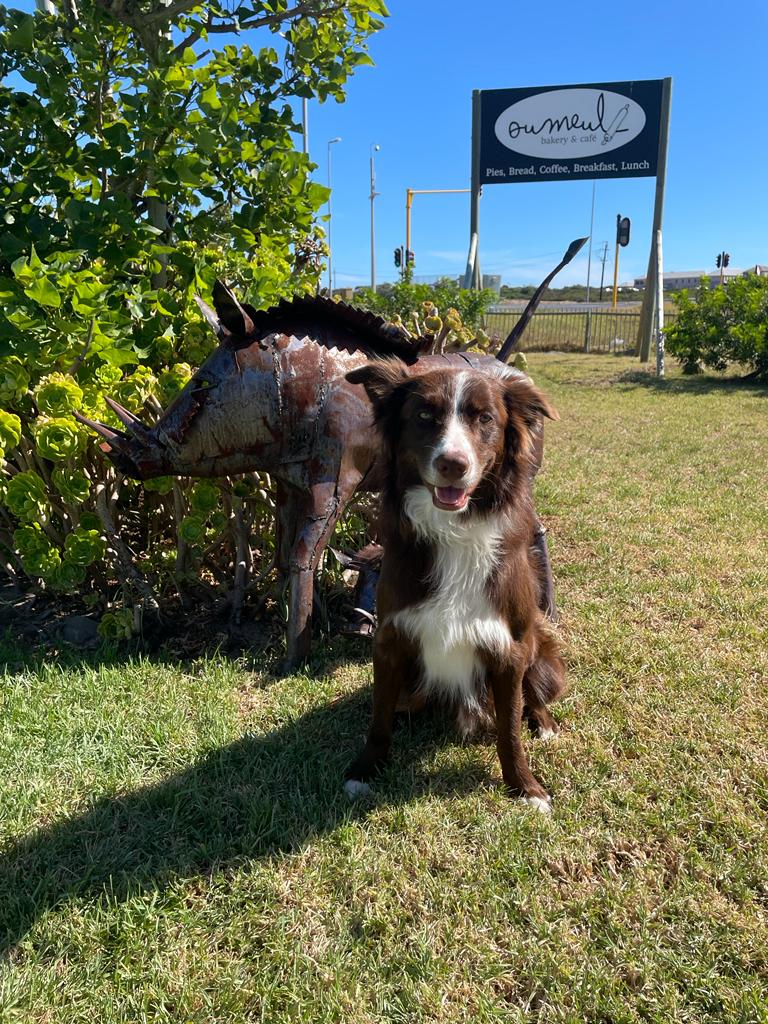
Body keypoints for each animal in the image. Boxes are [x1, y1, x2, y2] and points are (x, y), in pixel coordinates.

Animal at [346, 356, 569, 811]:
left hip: (542, 654)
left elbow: (509, 730)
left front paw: (525, 788)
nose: (454, 464)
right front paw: (365, 769)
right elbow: (378, 717)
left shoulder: (509, 648)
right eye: (423, 416)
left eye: (485, 418)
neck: (455, 530)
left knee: (535, 696)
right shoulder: (390, 638)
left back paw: (544, 724)